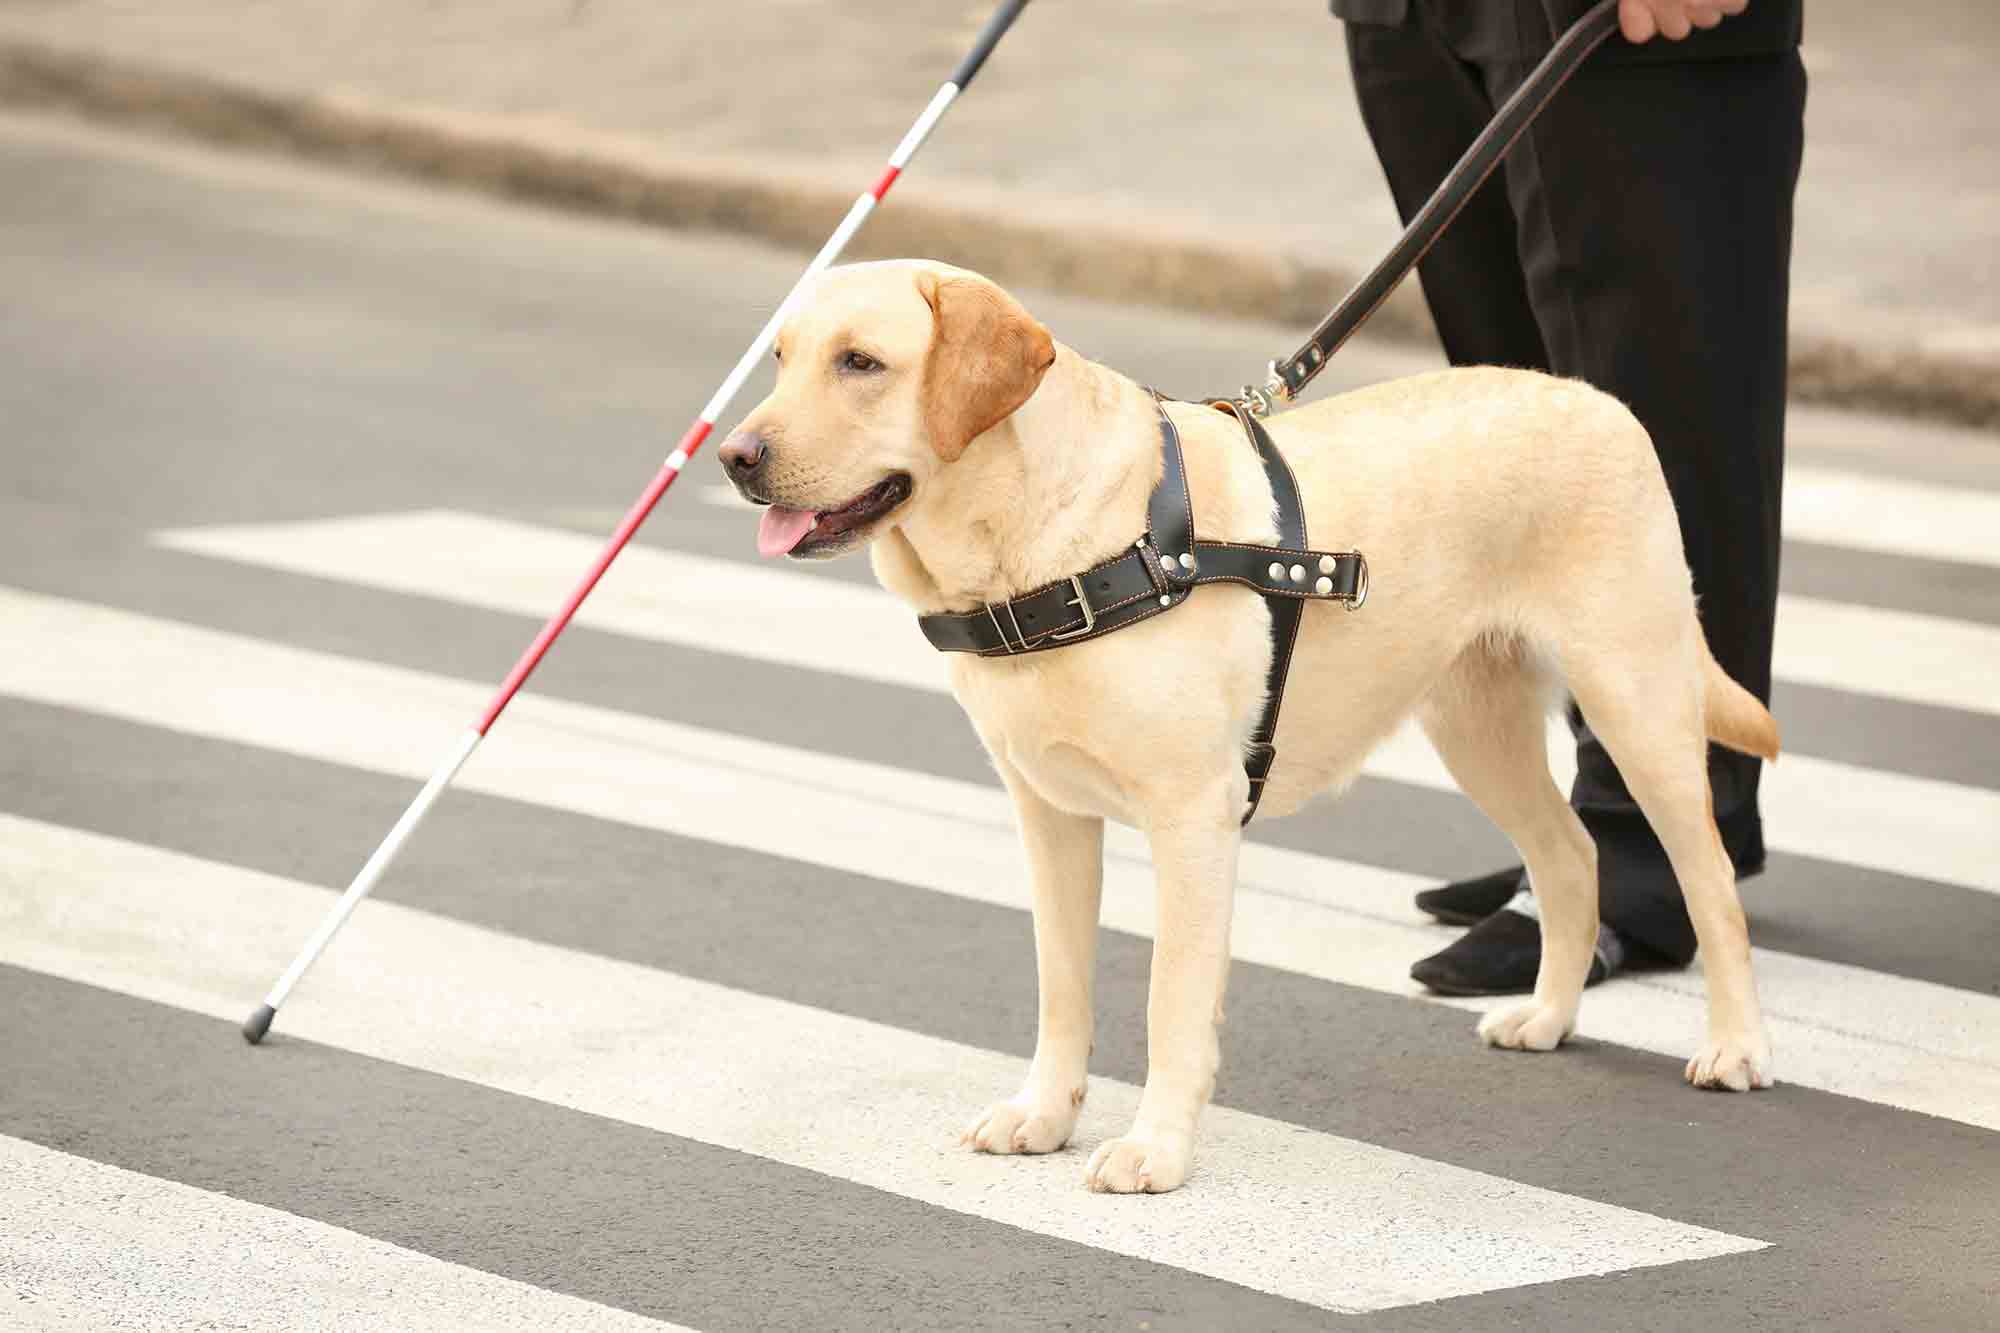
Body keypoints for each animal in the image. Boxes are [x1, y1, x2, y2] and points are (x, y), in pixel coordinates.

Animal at [720, 260, 1784, 1192]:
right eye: (780, 357)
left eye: (862, 362)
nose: (734, 457)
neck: (1050, 546)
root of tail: (1597, 399)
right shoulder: (1049, 813)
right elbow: (1061, 984)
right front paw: (1045, 1115)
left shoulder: (1193, 817)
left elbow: (1170, 998)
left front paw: (1154, 1150)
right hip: (1474, 723)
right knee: (1569, 854)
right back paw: (1550, 1014)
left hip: (1635, 695)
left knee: (1707, 880)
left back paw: (1737, 1045)